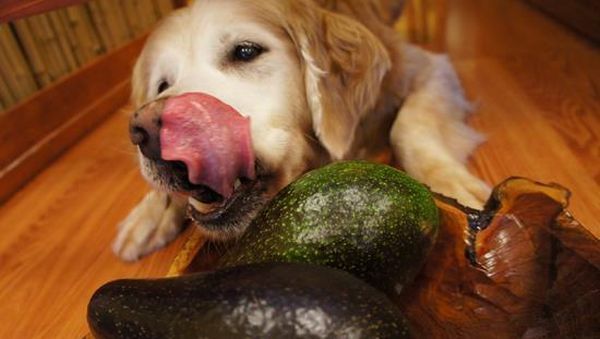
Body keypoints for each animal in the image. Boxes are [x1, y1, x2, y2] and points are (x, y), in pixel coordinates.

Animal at [111, 0, 488, 262]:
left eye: (245, 51)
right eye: (162, 85)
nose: (145, 130)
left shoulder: (428, 67)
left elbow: (409, 126)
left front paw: (454, 185)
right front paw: (153, 211)